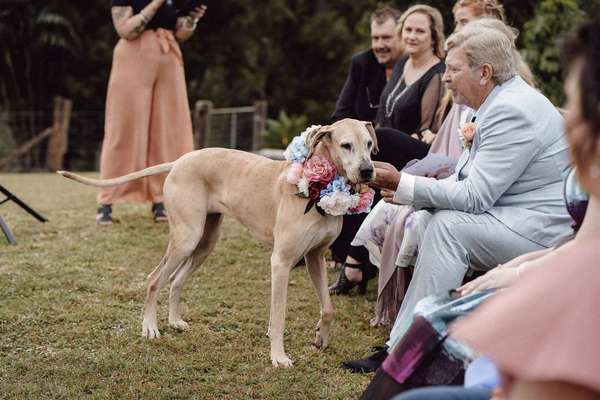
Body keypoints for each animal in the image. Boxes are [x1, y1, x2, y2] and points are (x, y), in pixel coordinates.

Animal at [57, 118, 376, 366]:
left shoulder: (315, 258)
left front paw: (321, 337)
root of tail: (181, 159)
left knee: (176, 280)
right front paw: (278, 357)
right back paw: (150, 328)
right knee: (154, 279)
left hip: (205, 242)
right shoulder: (282, 263)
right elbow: (278, 318)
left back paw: (174, 321)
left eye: (370, 144)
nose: (368, 171)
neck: (319, 184)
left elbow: (328, 308)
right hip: (186, 238)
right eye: (346, 145)